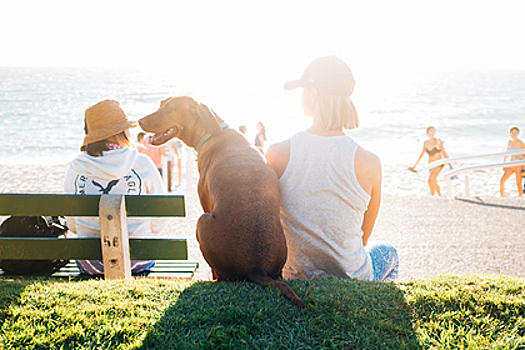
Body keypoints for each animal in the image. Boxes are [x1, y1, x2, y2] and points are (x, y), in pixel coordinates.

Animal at [139, 97, 304, 308]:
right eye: (161, 104)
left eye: (170, 109)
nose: (140, 120)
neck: (212, 132)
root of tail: (256, 267)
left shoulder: (205, 202)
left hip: (202, 221)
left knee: (219, 274)